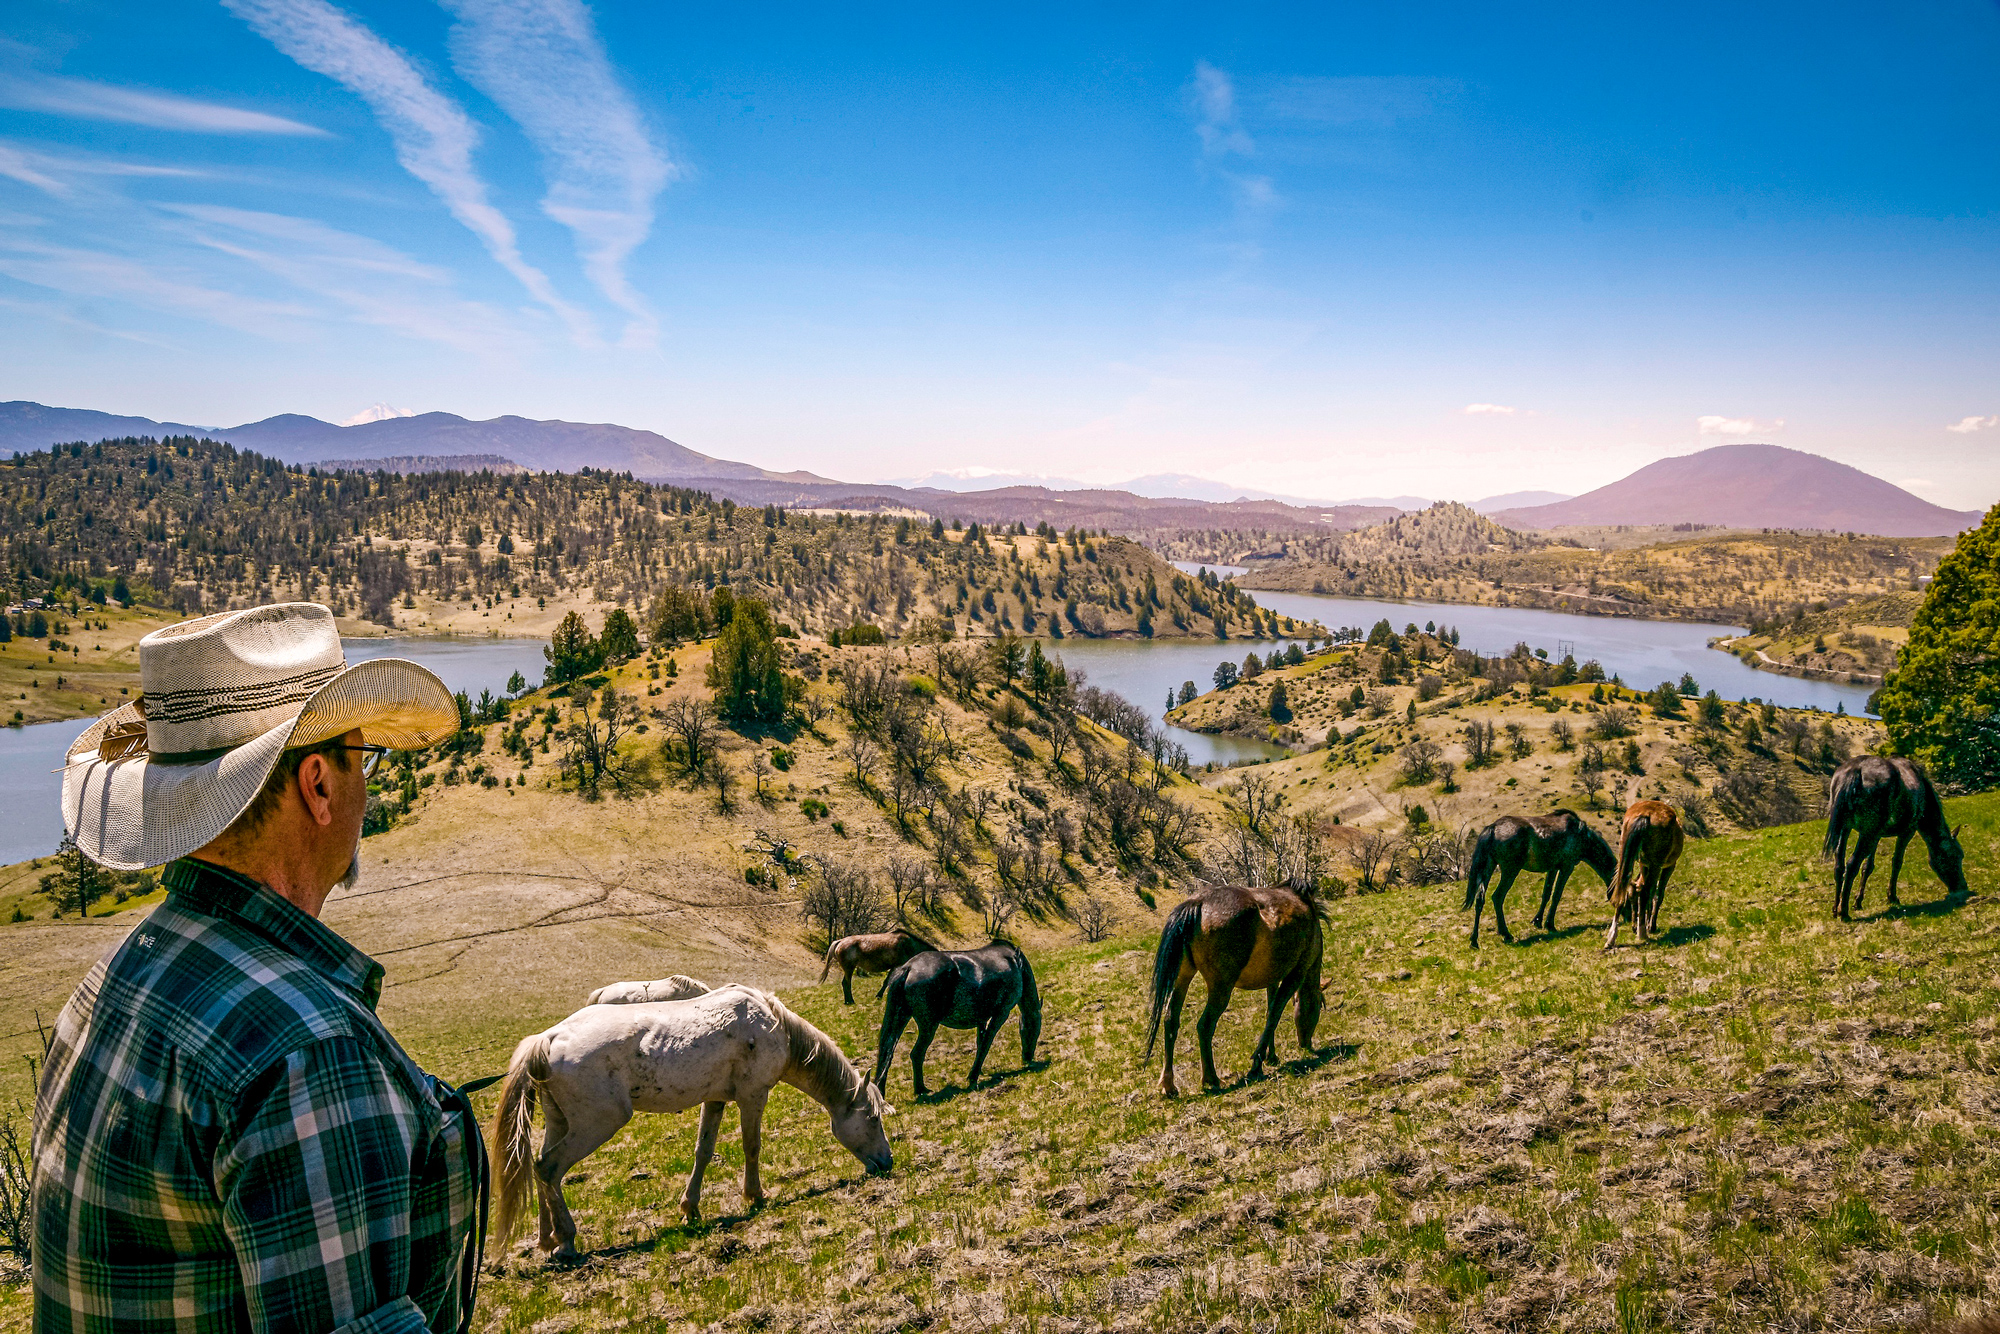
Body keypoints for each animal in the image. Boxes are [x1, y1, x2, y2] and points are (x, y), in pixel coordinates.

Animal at [488, 980, 896, 1264]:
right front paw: (755, 1196)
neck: (770, 1025)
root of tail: (548, 1038)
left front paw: (691, 1209)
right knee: (549, 1167)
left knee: (539, 1168)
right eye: (873, 1119)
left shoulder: (714, 1100)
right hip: (597, 1124)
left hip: (560, 1123)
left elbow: (704, 1150)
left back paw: (548, 1240)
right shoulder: (753, 1096)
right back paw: (568, 1241)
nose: (887, 1162)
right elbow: (752, 1146)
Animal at [868, 940, 1040, 1096]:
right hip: (928, 1025)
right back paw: (921, 1089)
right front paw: (973, 1076)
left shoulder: (982, 1019)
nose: (1027, 1058)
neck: (1015, 962)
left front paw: (979, 1071)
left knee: (887, 1052)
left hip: (900, 1017)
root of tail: (909, 968)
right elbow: (986, 1043)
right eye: (1034, 1031)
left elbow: (980, 1042)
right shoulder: (1001, 1013)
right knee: (916, 1054)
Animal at [1144, 888, 1328, 1096]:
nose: (1307, 1044)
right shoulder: (1296, 973)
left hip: (1182, 976)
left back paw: (1169, 1084)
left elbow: (1270, 1011)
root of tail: (1197, 903)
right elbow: (1274, 1015)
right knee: (1205, 1025)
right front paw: (1257, 1064)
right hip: (1221, 987)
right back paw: (1211, 1078)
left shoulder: (1272, 977)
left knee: (1170, 1021)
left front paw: (1271, 1056)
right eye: (1318, 1007)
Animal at [1600, 804, 1680, 948]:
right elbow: (1657, 894)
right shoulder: (1668, 866)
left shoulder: (1644, 865)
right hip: (1656, 865)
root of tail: (1644, 815)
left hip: (1625, 856)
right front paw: (1651, 925)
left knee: (1623, 889)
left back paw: (1612, 937)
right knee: (1645, 892)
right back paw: (1642, 933)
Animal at [1832, 756, 1968, 924]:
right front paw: (1892, 897)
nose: (1963, 886)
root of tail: (1855, 770)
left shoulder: (1876, 834)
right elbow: (1897, 862)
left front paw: (1858, 901)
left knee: (1839, 866)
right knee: (1851, 865)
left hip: (1846, 829)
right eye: (1955, 857)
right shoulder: (1906, 831)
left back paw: (1835, 909)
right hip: (1865, 833)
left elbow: (1867, 867)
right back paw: (1843, 912)